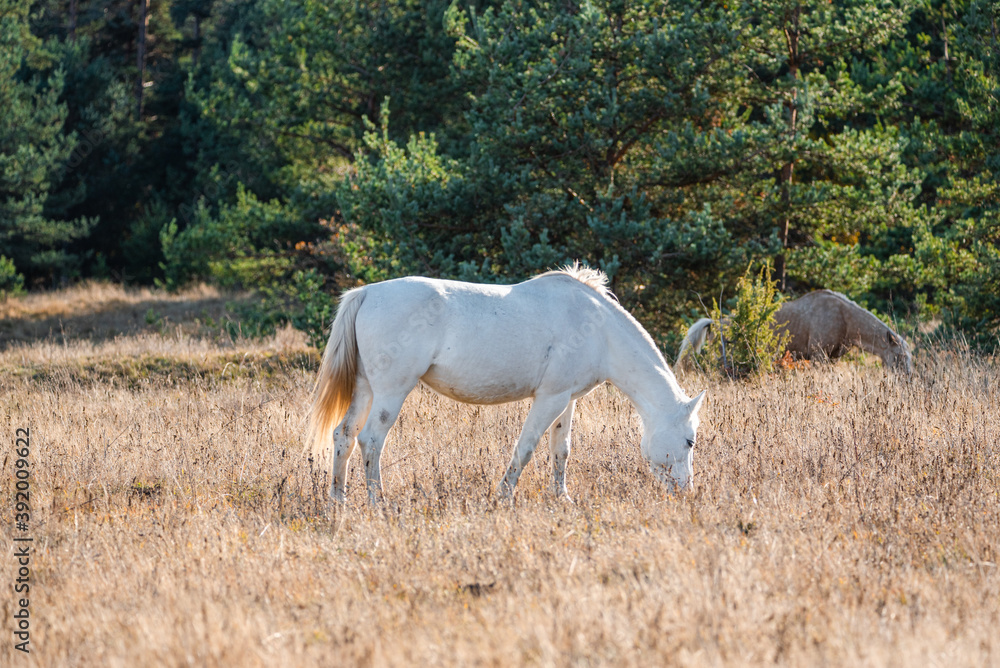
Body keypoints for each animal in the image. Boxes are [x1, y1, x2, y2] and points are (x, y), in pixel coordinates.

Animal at [309, 264, 706, 504]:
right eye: (690, 441)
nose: (686, 491)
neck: (598, 327)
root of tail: (367, 293)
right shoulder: (549, 399)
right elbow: (525, 448)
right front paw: (504, 496)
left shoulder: (567, 400)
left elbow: (561, 450)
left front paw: (562, 498)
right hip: (391, 392)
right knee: (371, 441)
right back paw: (379, 501)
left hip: (366, 389)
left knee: (344, 435)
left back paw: (339, 499)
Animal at [676, 289, 913, 374]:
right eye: (899, 356)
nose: (908, 378)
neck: (846, 321)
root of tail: (714, 323)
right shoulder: (818, 354)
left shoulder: (833, 357)